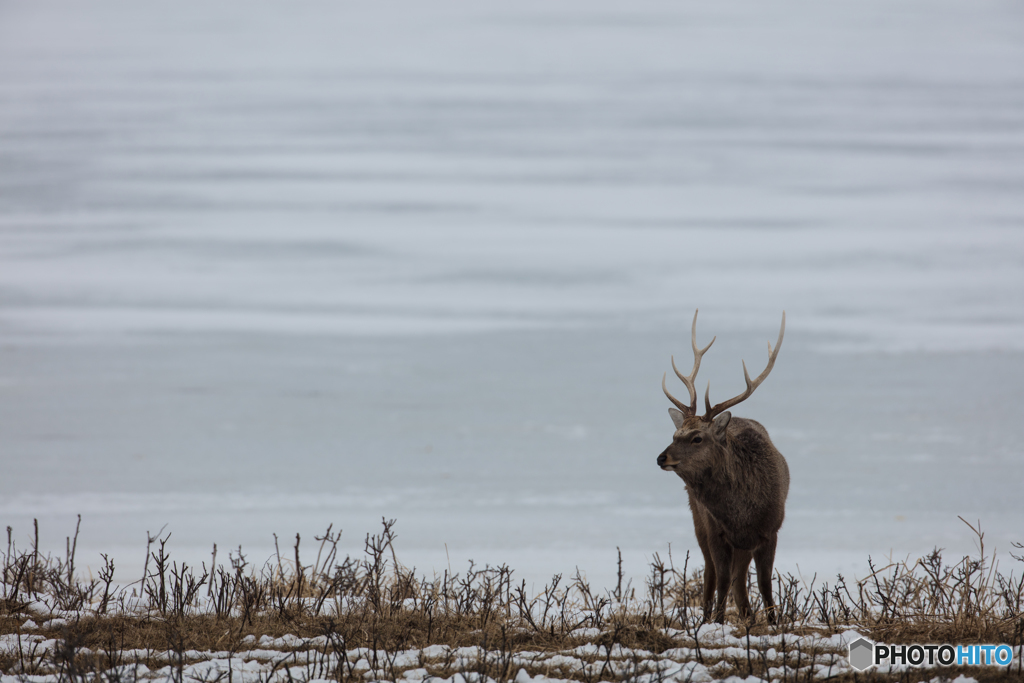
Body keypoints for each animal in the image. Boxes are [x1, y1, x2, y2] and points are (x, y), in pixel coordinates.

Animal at [655, 309, 790, 626]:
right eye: (675, 434)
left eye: (697, 437)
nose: (661, 458)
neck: (742, 512)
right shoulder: (716, 530)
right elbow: (722, 578)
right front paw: (715, 621)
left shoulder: (771, 529)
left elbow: (764, 582)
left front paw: (774, 621)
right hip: (699, 520)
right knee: (712, 573)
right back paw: (709, 616)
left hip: (742, 543)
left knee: (740, 581)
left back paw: (748, 616)